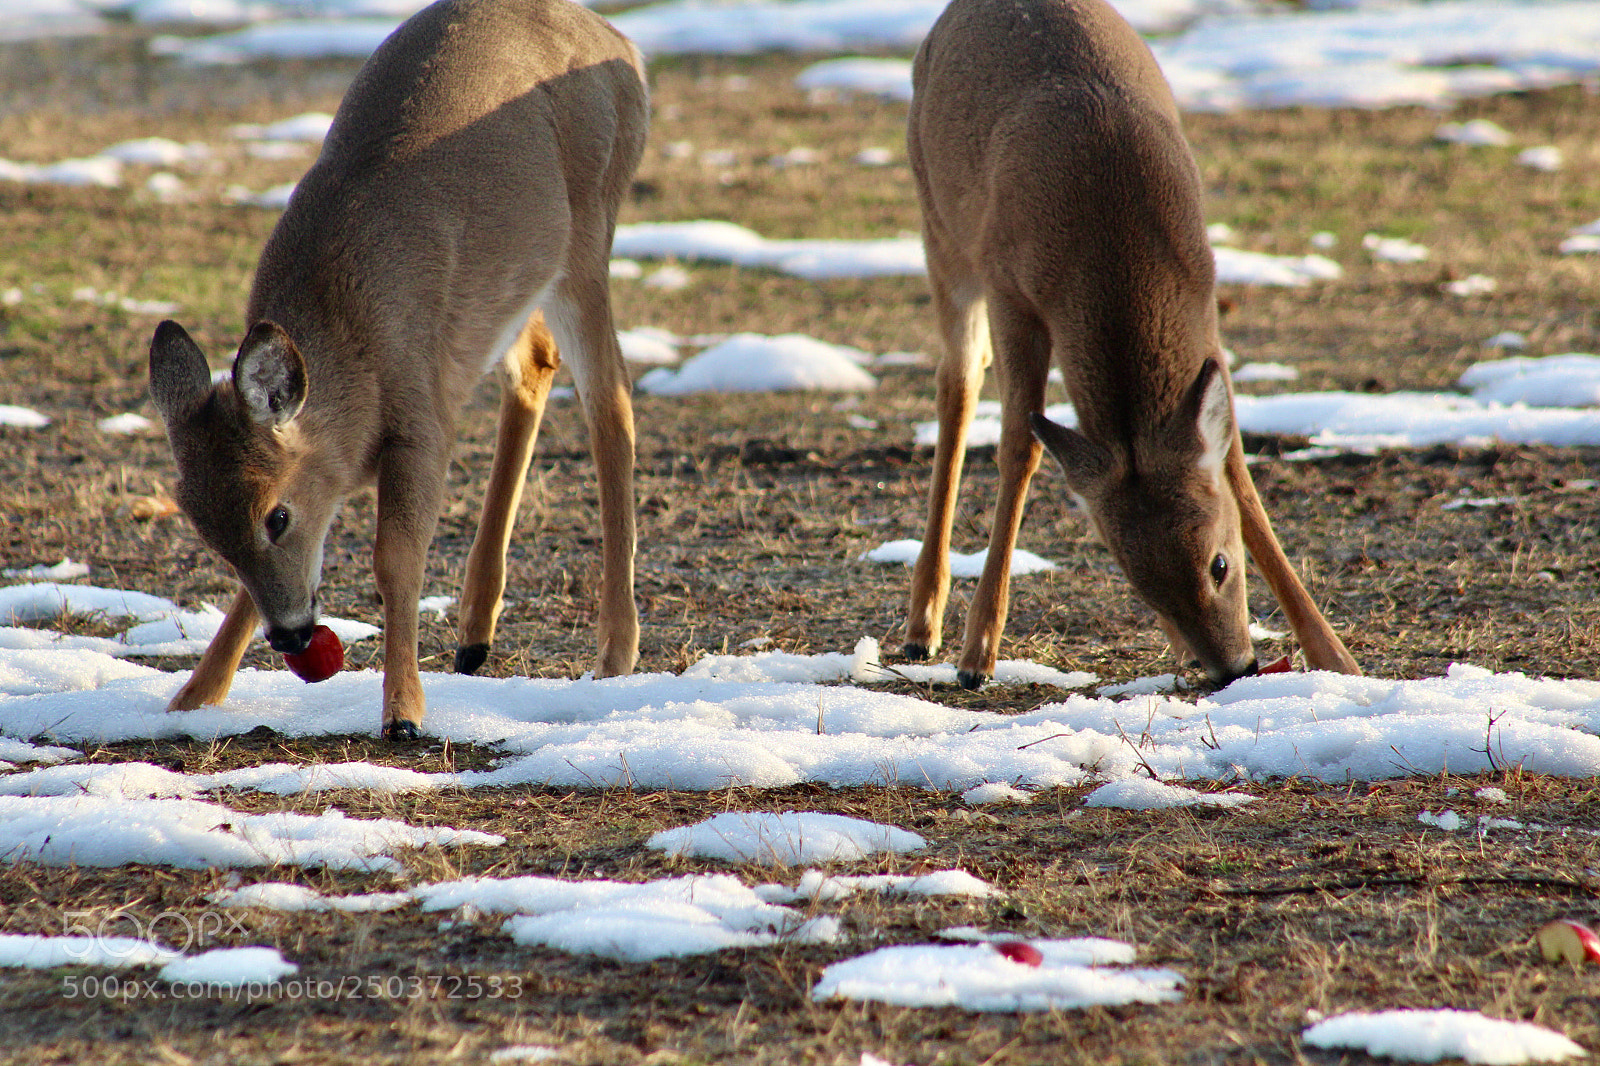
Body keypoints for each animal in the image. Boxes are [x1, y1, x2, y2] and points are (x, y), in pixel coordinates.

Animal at [147, 0, 647, 739]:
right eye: (206, 529)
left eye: (277, 516)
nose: (292, 636)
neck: (347, 342)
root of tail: (622, 43)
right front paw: (194, 695)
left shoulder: (422, 420)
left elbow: (397, 561)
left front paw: (404, 713)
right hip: (516, 289)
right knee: (536, 362)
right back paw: (475, 632)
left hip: (588, 233)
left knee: (610, 399)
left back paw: (615, 650)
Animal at [901, 0, 1360, 689]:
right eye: (1139, 585)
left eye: (1219, 564)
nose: (1234, 667)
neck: (1112, 241)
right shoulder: (1012, 291)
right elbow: (1019, 449)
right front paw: (978, 652)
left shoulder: (1205, 302)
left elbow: (1235, 466)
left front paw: (1335, 656)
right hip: (941, 235)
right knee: (956, 384)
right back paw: (922, 626)